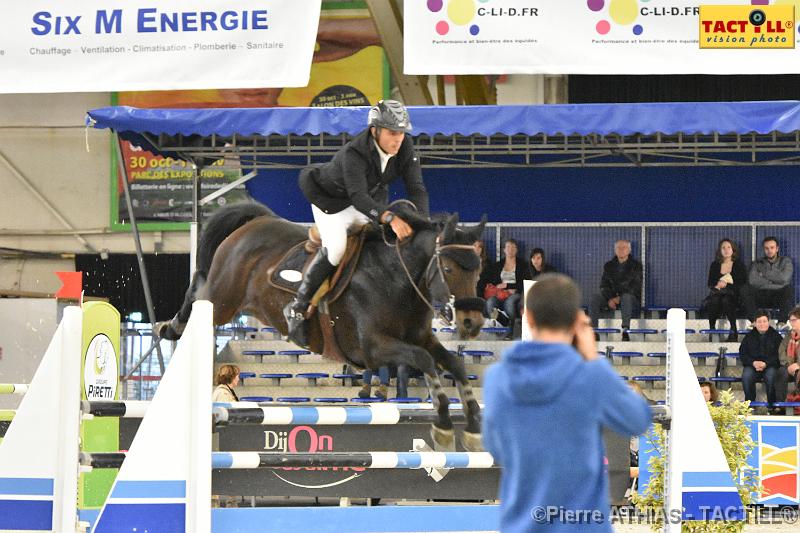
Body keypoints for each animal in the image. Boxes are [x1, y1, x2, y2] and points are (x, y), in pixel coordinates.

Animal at [159, 201, 488, 448]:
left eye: (478, 269)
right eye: (448, 268)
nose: (471, 323)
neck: (398, 277)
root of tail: (256, 222)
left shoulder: (421, 339)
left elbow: (454, 364)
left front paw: (473, 427)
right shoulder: (373, 349)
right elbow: (425, 361)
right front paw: (443, 425)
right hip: (222, 298)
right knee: (197, 296)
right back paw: (170, 327)